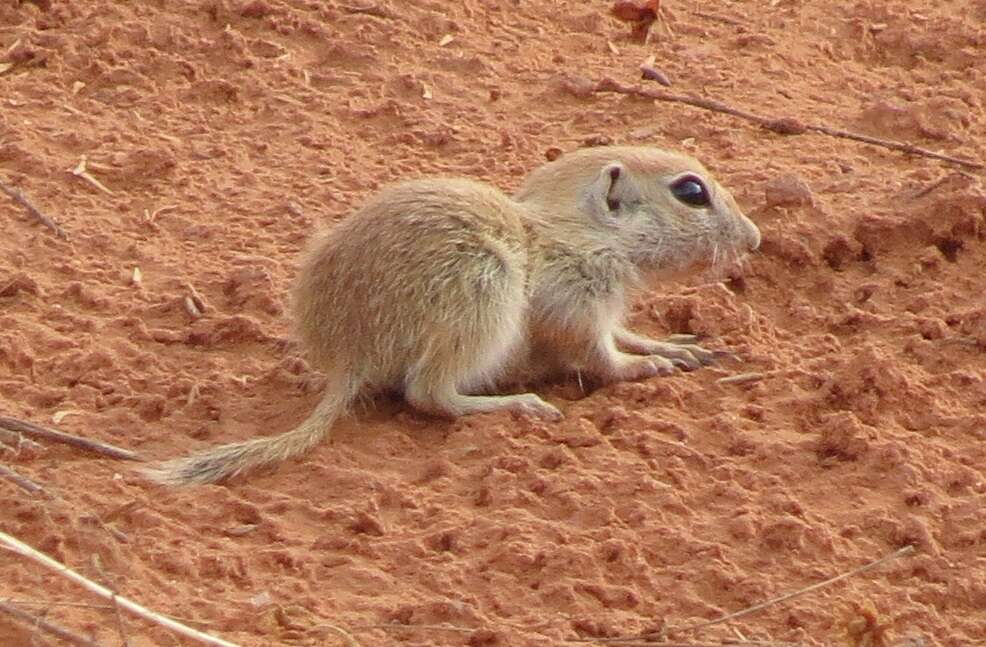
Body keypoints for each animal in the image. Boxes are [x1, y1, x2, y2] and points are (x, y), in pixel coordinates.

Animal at [146, 146, 756, 486]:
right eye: (692, 192)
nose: (754, 238)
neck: (582, 232)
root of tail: (347, 359)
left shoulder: (606, 309)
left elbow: (627, 333)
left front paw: (676, 345)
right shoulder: (577, 303)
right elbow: (599, 357)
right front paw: (643, 368)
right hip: (481, 298)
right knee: (429, 394)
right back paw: (518, 404)